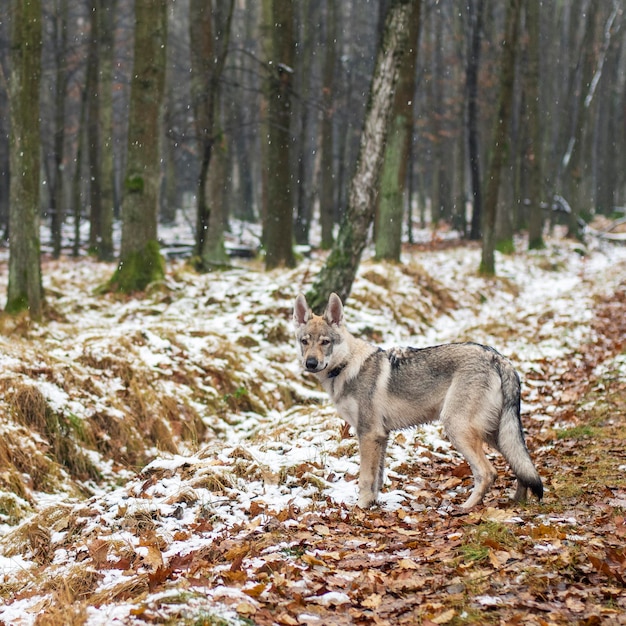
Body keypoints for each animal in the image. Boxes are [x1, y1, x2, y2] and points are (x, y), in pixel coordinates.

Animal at [292, 292, 540, 508]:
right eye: (304, 341)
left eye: (325, 342)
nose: (310, 363)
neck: (346, 367)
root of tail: (499, 358)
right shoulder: (381, 436)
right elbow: (377, 479)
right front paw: (373, 505)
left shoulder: (368, 434)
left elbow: (365, 478)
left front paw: (360, 508)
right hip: (495, 434)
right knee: (520, 465)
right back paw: (517, 502)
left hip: (458, 428)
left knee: (488, 473)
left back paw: (466, 508)